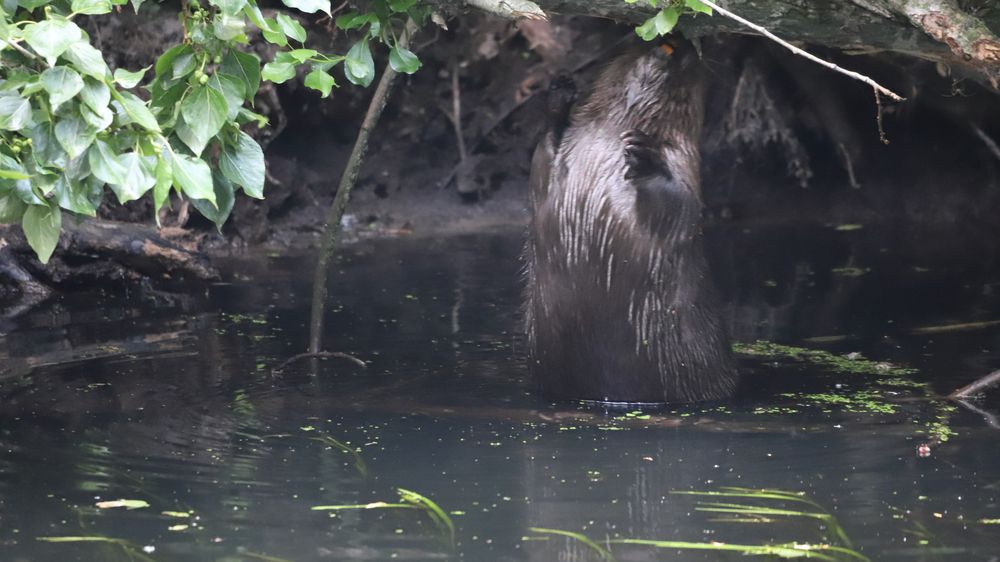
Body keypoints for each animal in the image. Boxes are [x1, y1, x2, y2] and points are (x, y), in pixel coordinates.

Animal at [524, 41, 736, 404]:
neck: (611, 137)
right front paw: (559, 95)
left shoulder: (685, 162)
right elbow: (543, 154)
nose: (678, 41)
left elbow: (682, 204)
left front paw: (643, 153)